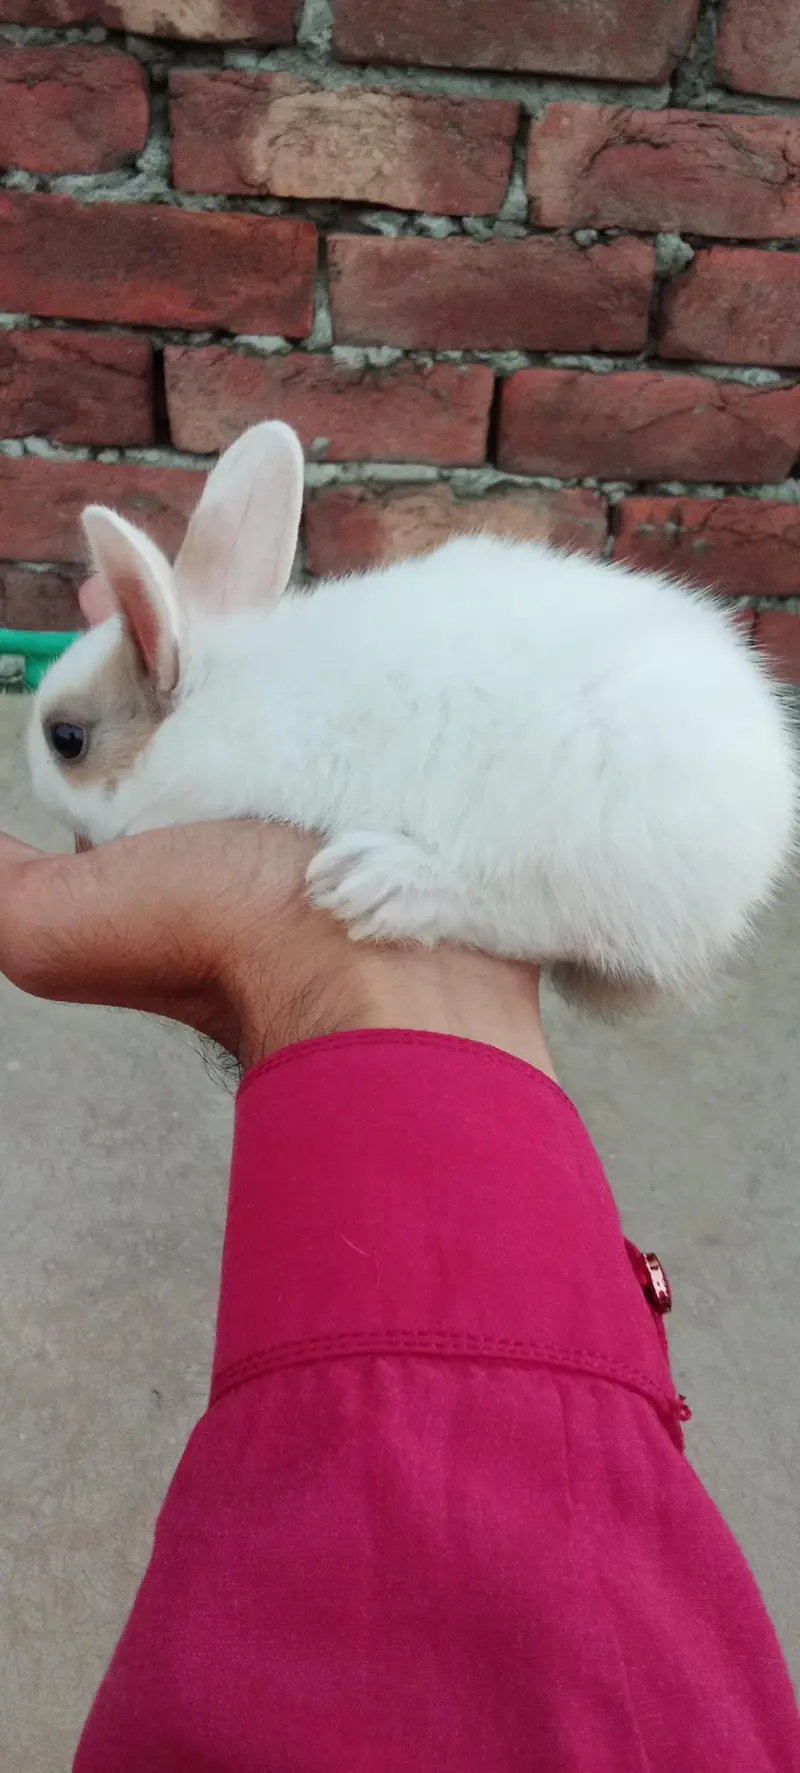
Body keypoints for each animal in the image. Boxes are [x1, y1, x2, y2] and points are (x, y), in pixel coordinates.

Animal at [27, 419, 797, 1012]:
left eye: (66, 739)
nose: (34, 783)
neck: (214, 706)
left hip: (584, 840)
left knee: (534, 918)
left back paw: (377, 884)